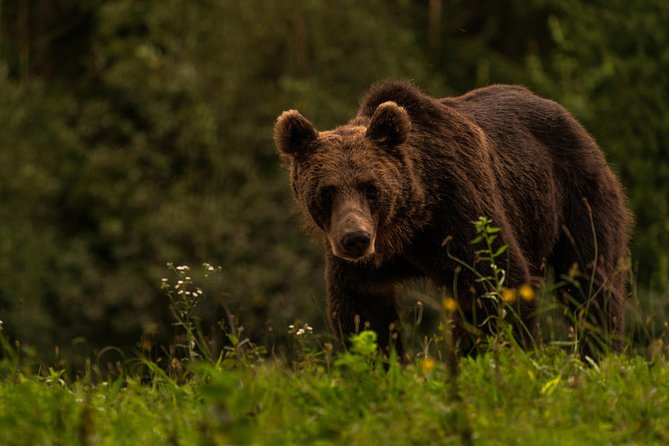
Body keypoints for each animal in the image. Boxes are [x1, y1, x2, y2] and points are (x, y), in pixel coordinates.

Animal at [272, 80, 632, 358]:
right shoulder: (363, 263)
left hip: (578, 197)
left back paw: (601, 353)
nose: (356, 239)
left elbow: (497, 284)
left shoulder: (458, 210)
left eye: (371, 187)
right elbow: (363, 310)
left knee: (590, 279)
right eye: (326, 191)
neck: (408, 227)